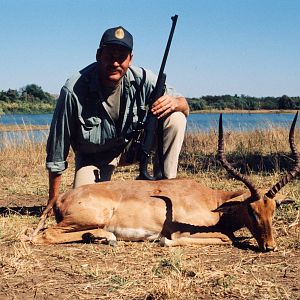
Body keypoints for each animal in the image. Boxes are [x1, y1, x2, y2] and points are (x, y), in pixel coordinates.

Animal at [29, 112, 298, 251]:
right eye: (251, 210)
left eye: (273, 210)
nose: (270, 246)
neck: (212, 201)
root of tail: (61, 197)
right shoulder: (183, 231)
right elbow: (227, 237)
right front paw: (163, 240)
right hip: (91, 217)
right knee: (43, 235)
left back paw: (100, 237)